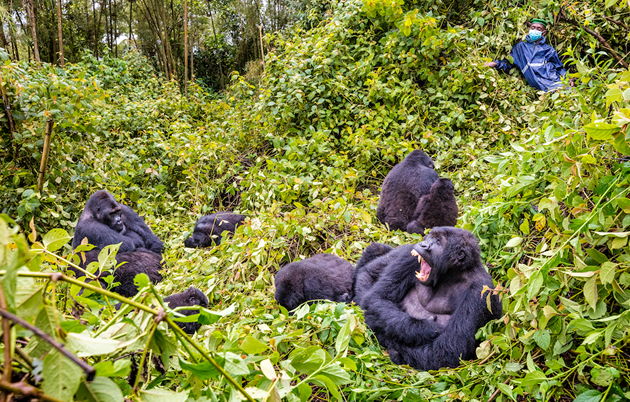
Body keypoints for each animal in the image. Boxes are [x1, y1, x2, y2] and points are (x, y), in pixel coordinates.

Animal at [356, 228, 504, 372]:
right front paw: (428, 328)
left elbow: (448, 349)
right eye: (429, 237)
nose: (423, 245)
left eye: (438, 242)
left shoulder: (481, 292)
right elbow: (377, 299)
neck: (453, 274)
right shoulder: (408, 257)